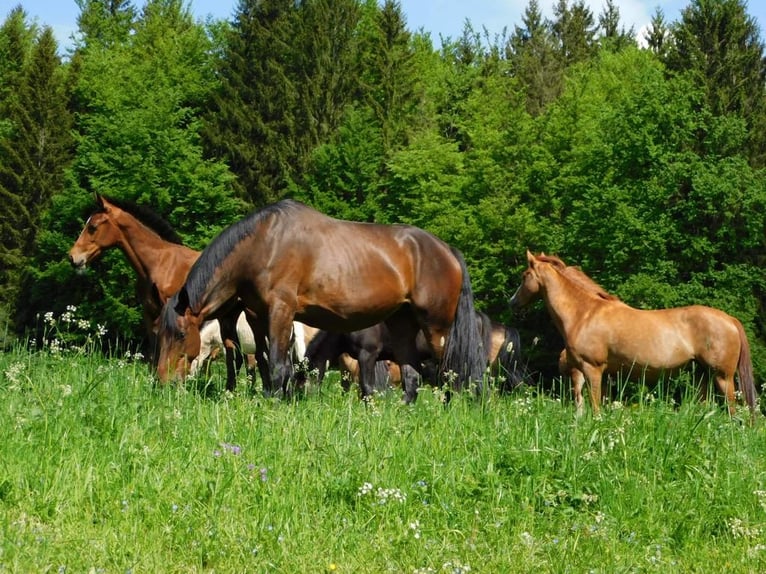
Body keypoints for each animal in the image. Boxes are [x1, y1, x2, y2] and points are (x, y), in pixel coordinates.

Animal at [158, 199, 486, 400]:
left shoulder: (281, 311)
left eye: (181, 334)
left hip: (437, 329)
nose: (162, 382)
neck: (264, 244)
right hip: (404, 327)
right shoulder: (257, 316)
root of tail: (447, 250)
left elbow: (278, 366)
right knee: (412, 378)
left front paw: (274, 404)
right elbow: (266, 363)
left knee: (448, 372)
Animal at [512, 252, 760, 418]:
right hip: (703, 375)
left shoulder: (592, 369)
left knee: (732, 410)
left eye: (524, 275)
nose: (512, 302)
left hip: (723, 377)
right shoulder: (601, 375)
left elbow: (595, 407)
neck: (584, 314)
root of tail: (730, 320)